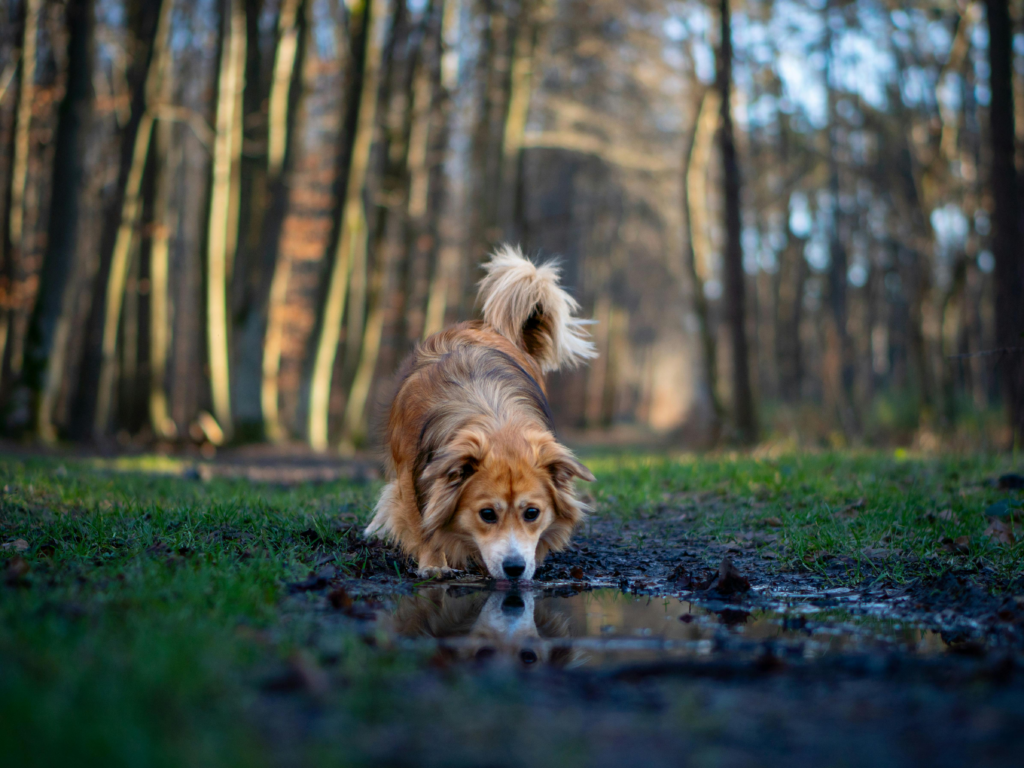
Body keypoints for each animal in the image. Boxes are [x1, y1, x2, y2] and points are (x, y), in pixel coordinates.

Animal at [366, 249, 598, 581]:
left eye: (532, 513)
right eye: (487, 514)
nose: (515, 569)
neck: (497, 420)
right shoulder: (411, 473)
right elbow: (424, 521)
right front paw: (434, 563)